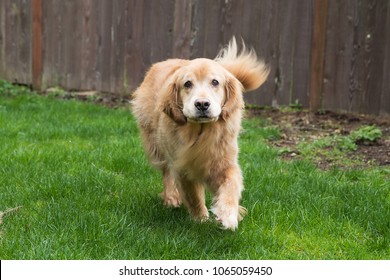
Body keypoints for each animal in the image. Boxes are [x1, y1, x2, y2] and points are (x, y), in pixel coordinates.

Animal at [131, 37, 268, 230]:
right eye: (187, 84)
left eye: (215, 82)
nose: (202, 104)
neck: (201, 132)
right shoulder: (183, 167)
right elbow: (193, 196)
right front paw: (200, 219)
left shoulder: (224, 162)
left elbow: (231, 186)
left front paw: (228, 214)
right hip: (156, 145)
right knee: (166, 172)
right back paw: (171, 197)